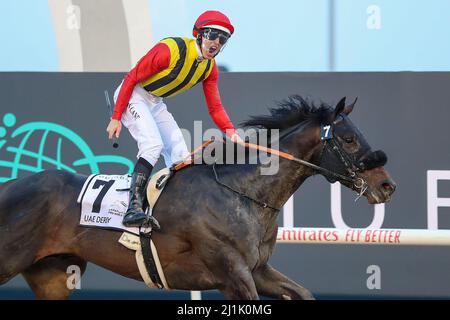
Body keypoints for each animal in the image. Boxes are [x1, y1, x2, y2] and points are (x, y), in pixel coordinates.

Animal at [0, 95, 394, 300]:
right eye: (348, 139)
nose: (388, 185)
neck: (244, 193)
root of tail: (9, 186)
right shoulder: (233, 275)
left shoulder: (258, 270)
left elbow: (303, 293)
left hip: (52, 275)